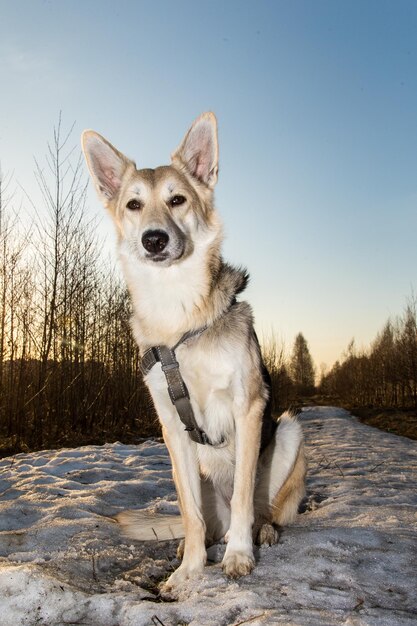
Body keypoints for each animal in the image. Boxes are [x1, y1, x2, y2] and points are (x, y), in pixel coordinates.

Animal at [81, 113, 304, 596]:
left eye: (177, 199)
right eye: (133, 204)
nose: (154, 239)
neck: (179, 315)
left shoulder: (248, 407)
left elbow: (243, 496)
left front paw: (238, 556)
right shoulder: (171, 426)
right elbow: (189, 512)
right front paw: (190, 570)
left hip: (291, 433)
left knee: (262, 509)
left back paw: (263, 532)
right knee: (207, 520)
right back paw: (192, 545)